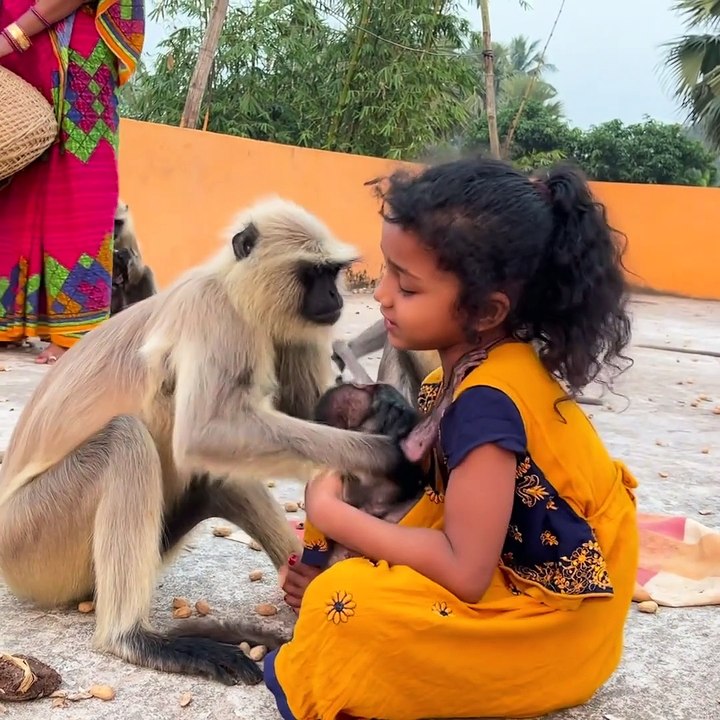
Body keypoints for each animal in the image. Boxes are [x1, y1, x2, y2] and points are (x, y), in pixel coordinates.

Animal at [0, 196, 408, 687]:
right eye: (313, 274)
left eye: (332, 273)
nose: (334, 297)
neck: (235, 291)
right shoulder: (215, 313)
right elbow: (205, 432)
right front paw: (383, 455)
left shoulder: (291, 331)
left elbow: (312, 412)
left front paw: (384, 404)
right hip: (29, 538)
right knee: (125, 439)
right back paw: (134, 638)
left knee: (218, 477)